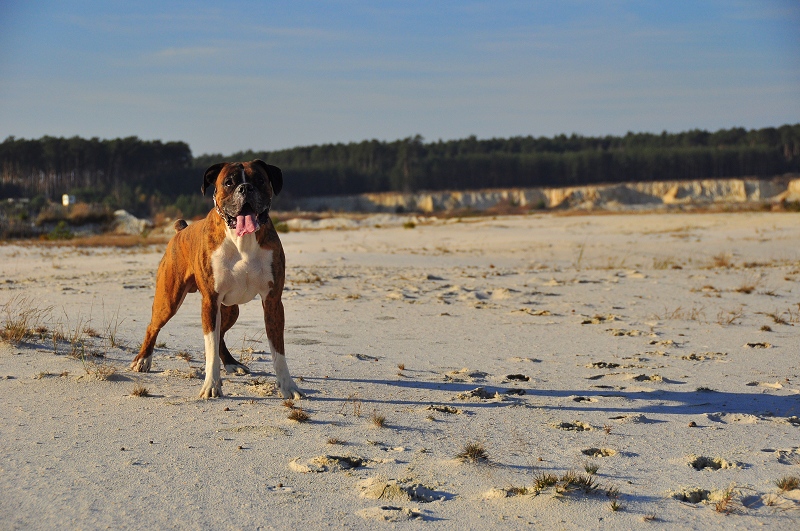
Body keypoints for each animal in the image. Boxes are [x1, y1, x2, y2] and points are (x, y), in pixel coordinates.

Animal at [131, 160, 304, 402]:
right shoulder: (210, 302)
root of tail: (181, 230)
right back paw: (142, 360)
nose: (245, 188)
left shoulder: (272, 301)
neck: (242, 240)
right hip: (169, 300)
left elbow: (278, 349)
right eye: (229, 182)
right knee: (153, 326)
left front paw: (288, 386)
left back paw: (232, 363)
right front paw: (211, 385)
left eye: (260, 180)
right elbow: (210, 346)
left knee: (221, 334)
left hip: (230, 310)